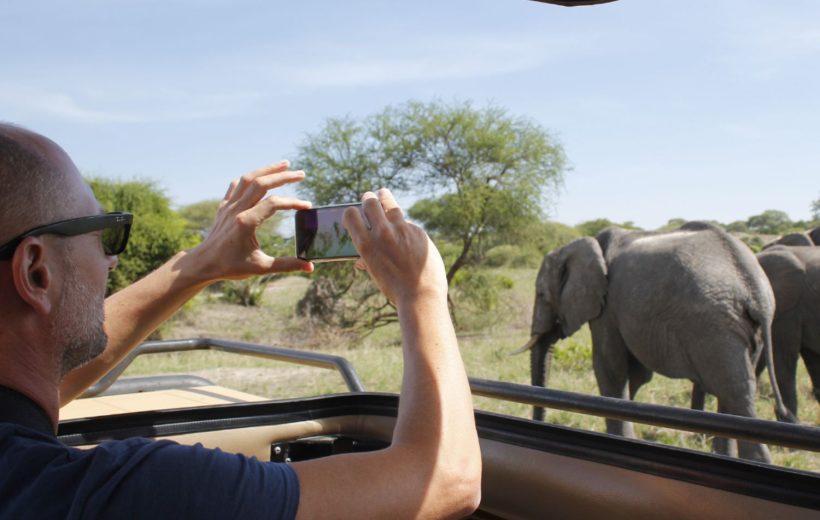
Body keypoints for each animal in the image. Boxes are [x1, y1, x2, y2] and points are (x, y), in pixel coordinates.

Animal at [520, 221, 796, 462]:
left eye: (541, 294)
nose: (540, 422)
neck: (580, 245)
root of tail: (756, 288)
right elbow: (635, 375)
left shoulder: (607, 308)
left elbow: (610, 370)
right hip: (739, 331)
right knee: (731, 397)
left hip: (716, 328)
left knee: (737, 395)